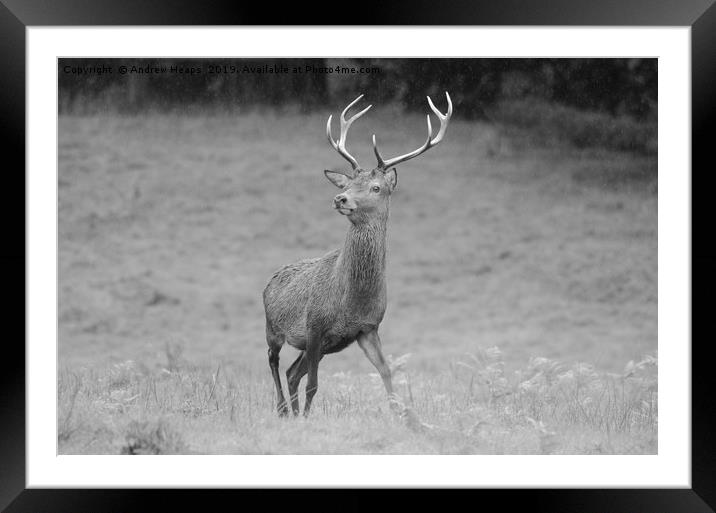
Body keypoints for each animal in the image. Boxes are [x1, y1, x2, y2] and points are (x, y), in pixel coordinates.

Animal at [262, 92, 454, 416]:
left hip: (317, 347)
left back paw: (293, 411)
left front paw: (404, 417)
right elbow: (314, 384)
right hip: (272, 327)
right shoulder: (314, 326)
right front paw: (308, 419)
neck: (351, 301)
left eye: (376, 187)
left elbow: (387, 372)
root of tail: (270, 280)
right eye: (350, 183)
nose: (340, 198)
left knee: (291, 372)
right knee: (274, 361)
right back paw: (284, 409)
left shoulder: (367, 329)